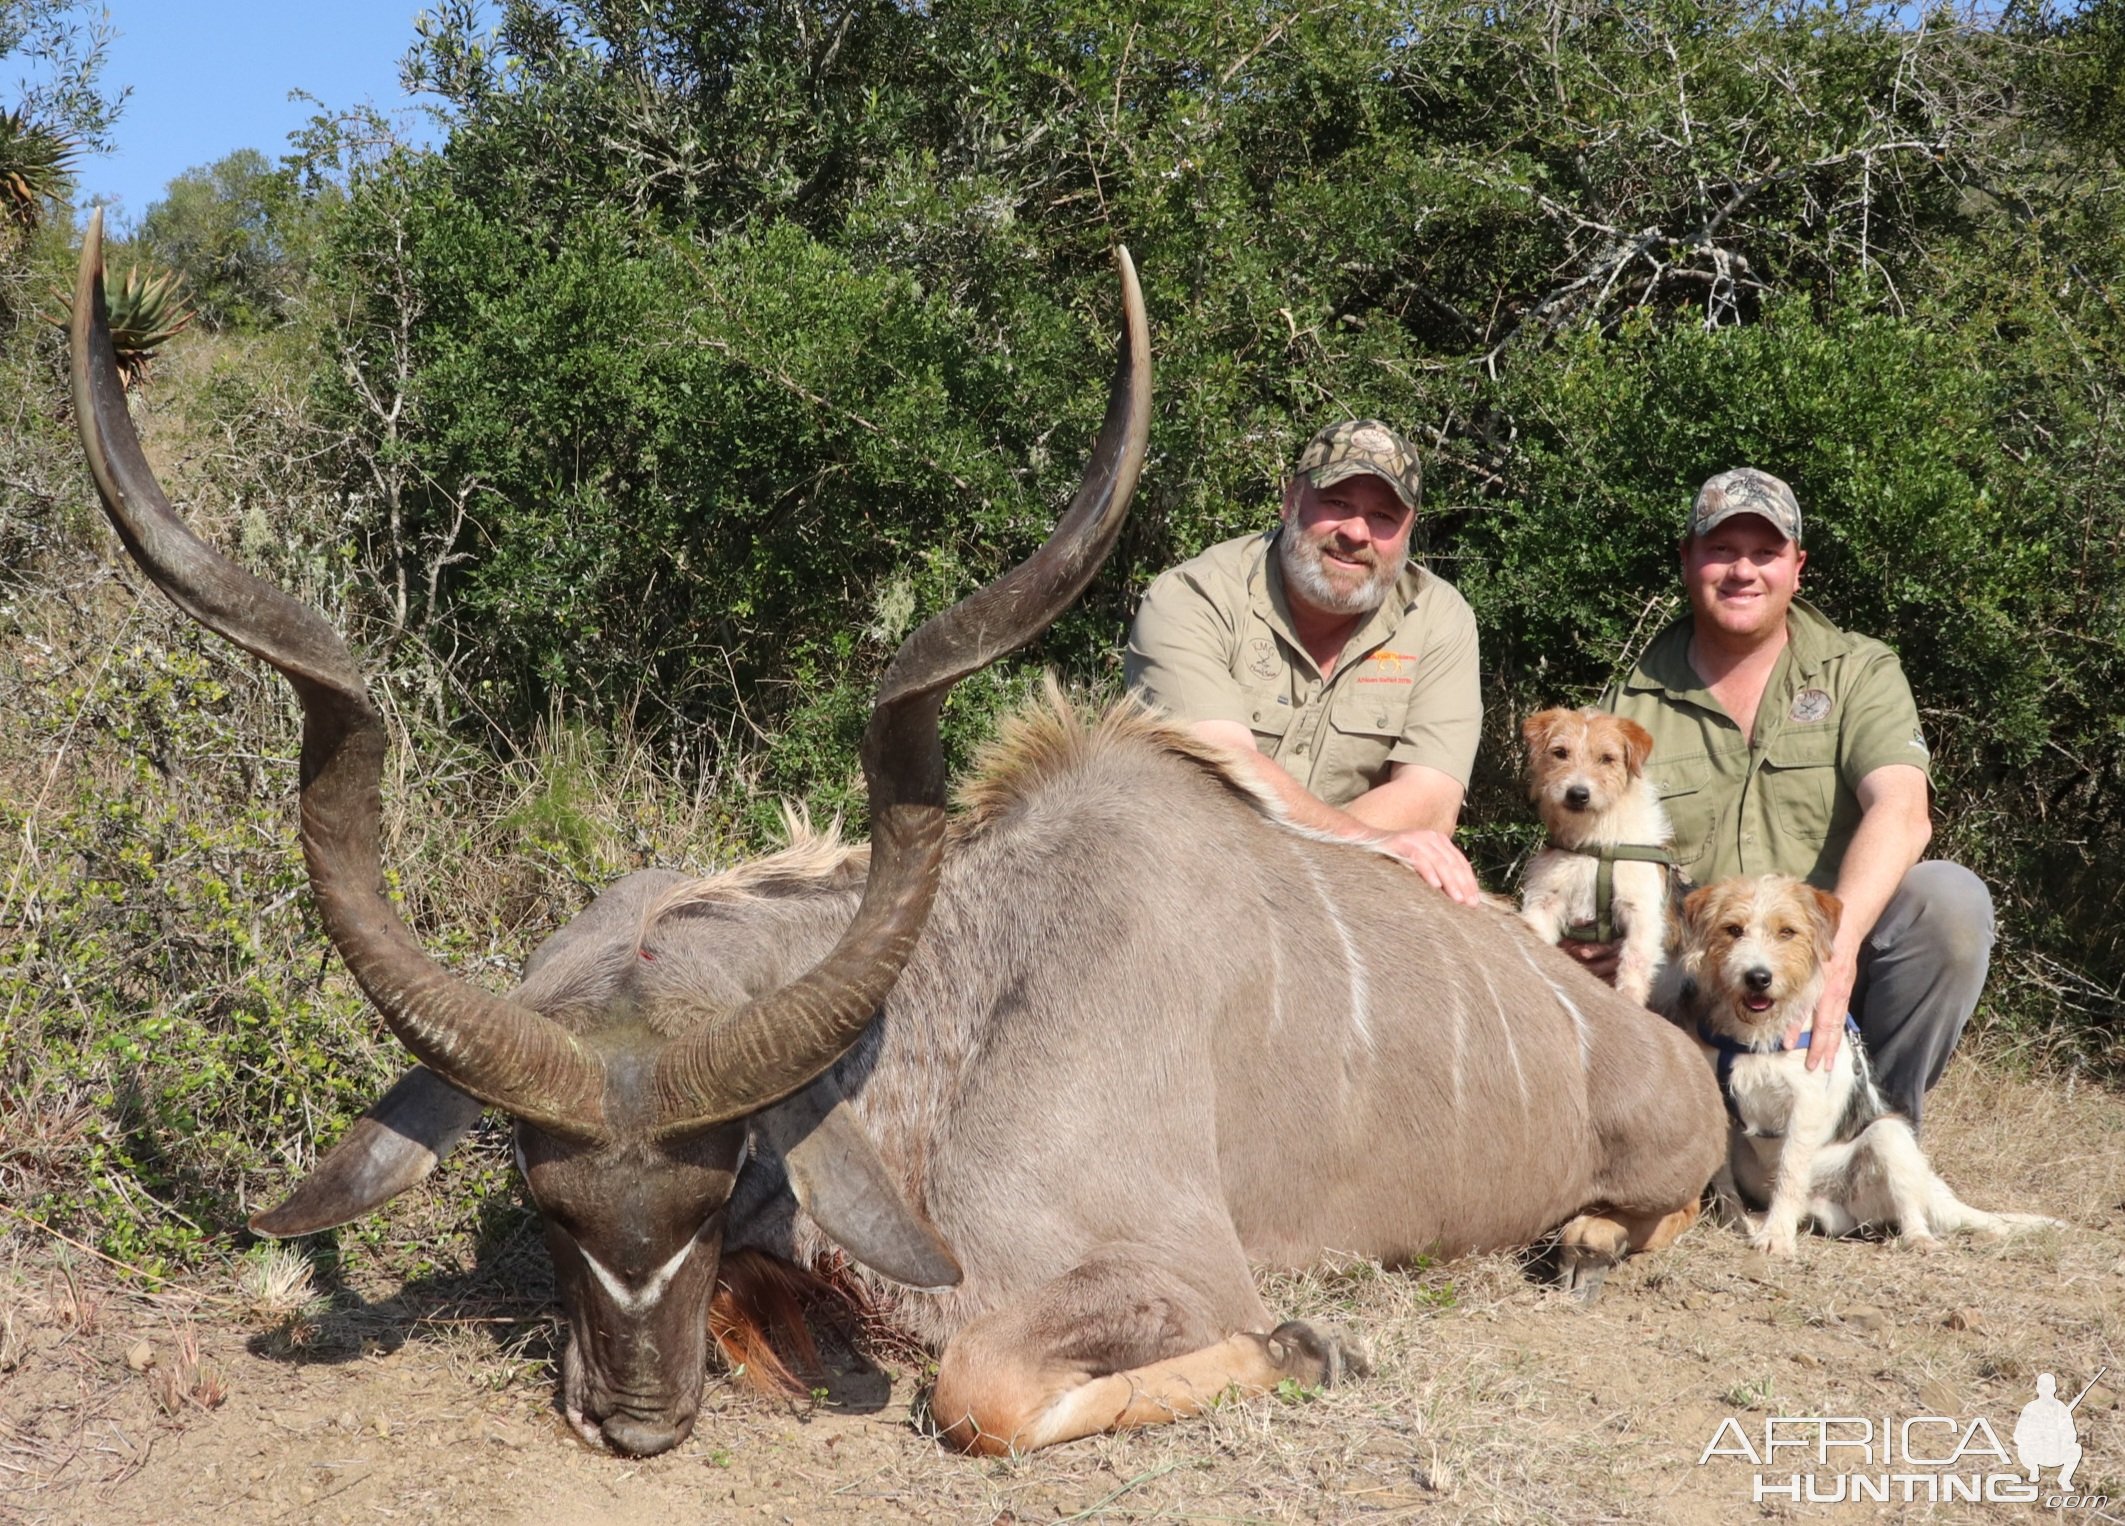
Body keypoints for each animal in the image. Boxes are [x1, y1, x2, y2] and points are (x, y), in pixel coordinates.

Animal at [1521, 709, 1683, 1011]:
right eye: (1560, 753)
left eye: (1607, 758)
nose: (1578, 794)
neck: (1594, 841)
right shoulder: (1546, 900)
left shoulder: (1641, 910)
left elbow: (1635, 960)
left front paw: (1629, 997)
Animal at [1666, 879, 2048, 1258]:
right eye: (1733, 930)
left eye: (1787, 931)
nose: (1758, 978)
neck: (1757, 1035)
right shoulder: (1718, 1102)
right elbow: (1723, 1177)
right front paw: (1732, 1220)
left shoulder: (1804, 1105)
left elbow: (1790, 1172)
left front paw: (1776, 1237)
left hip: (1889, 1136)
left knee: (1909, 1208)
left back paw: (1919, 1239)